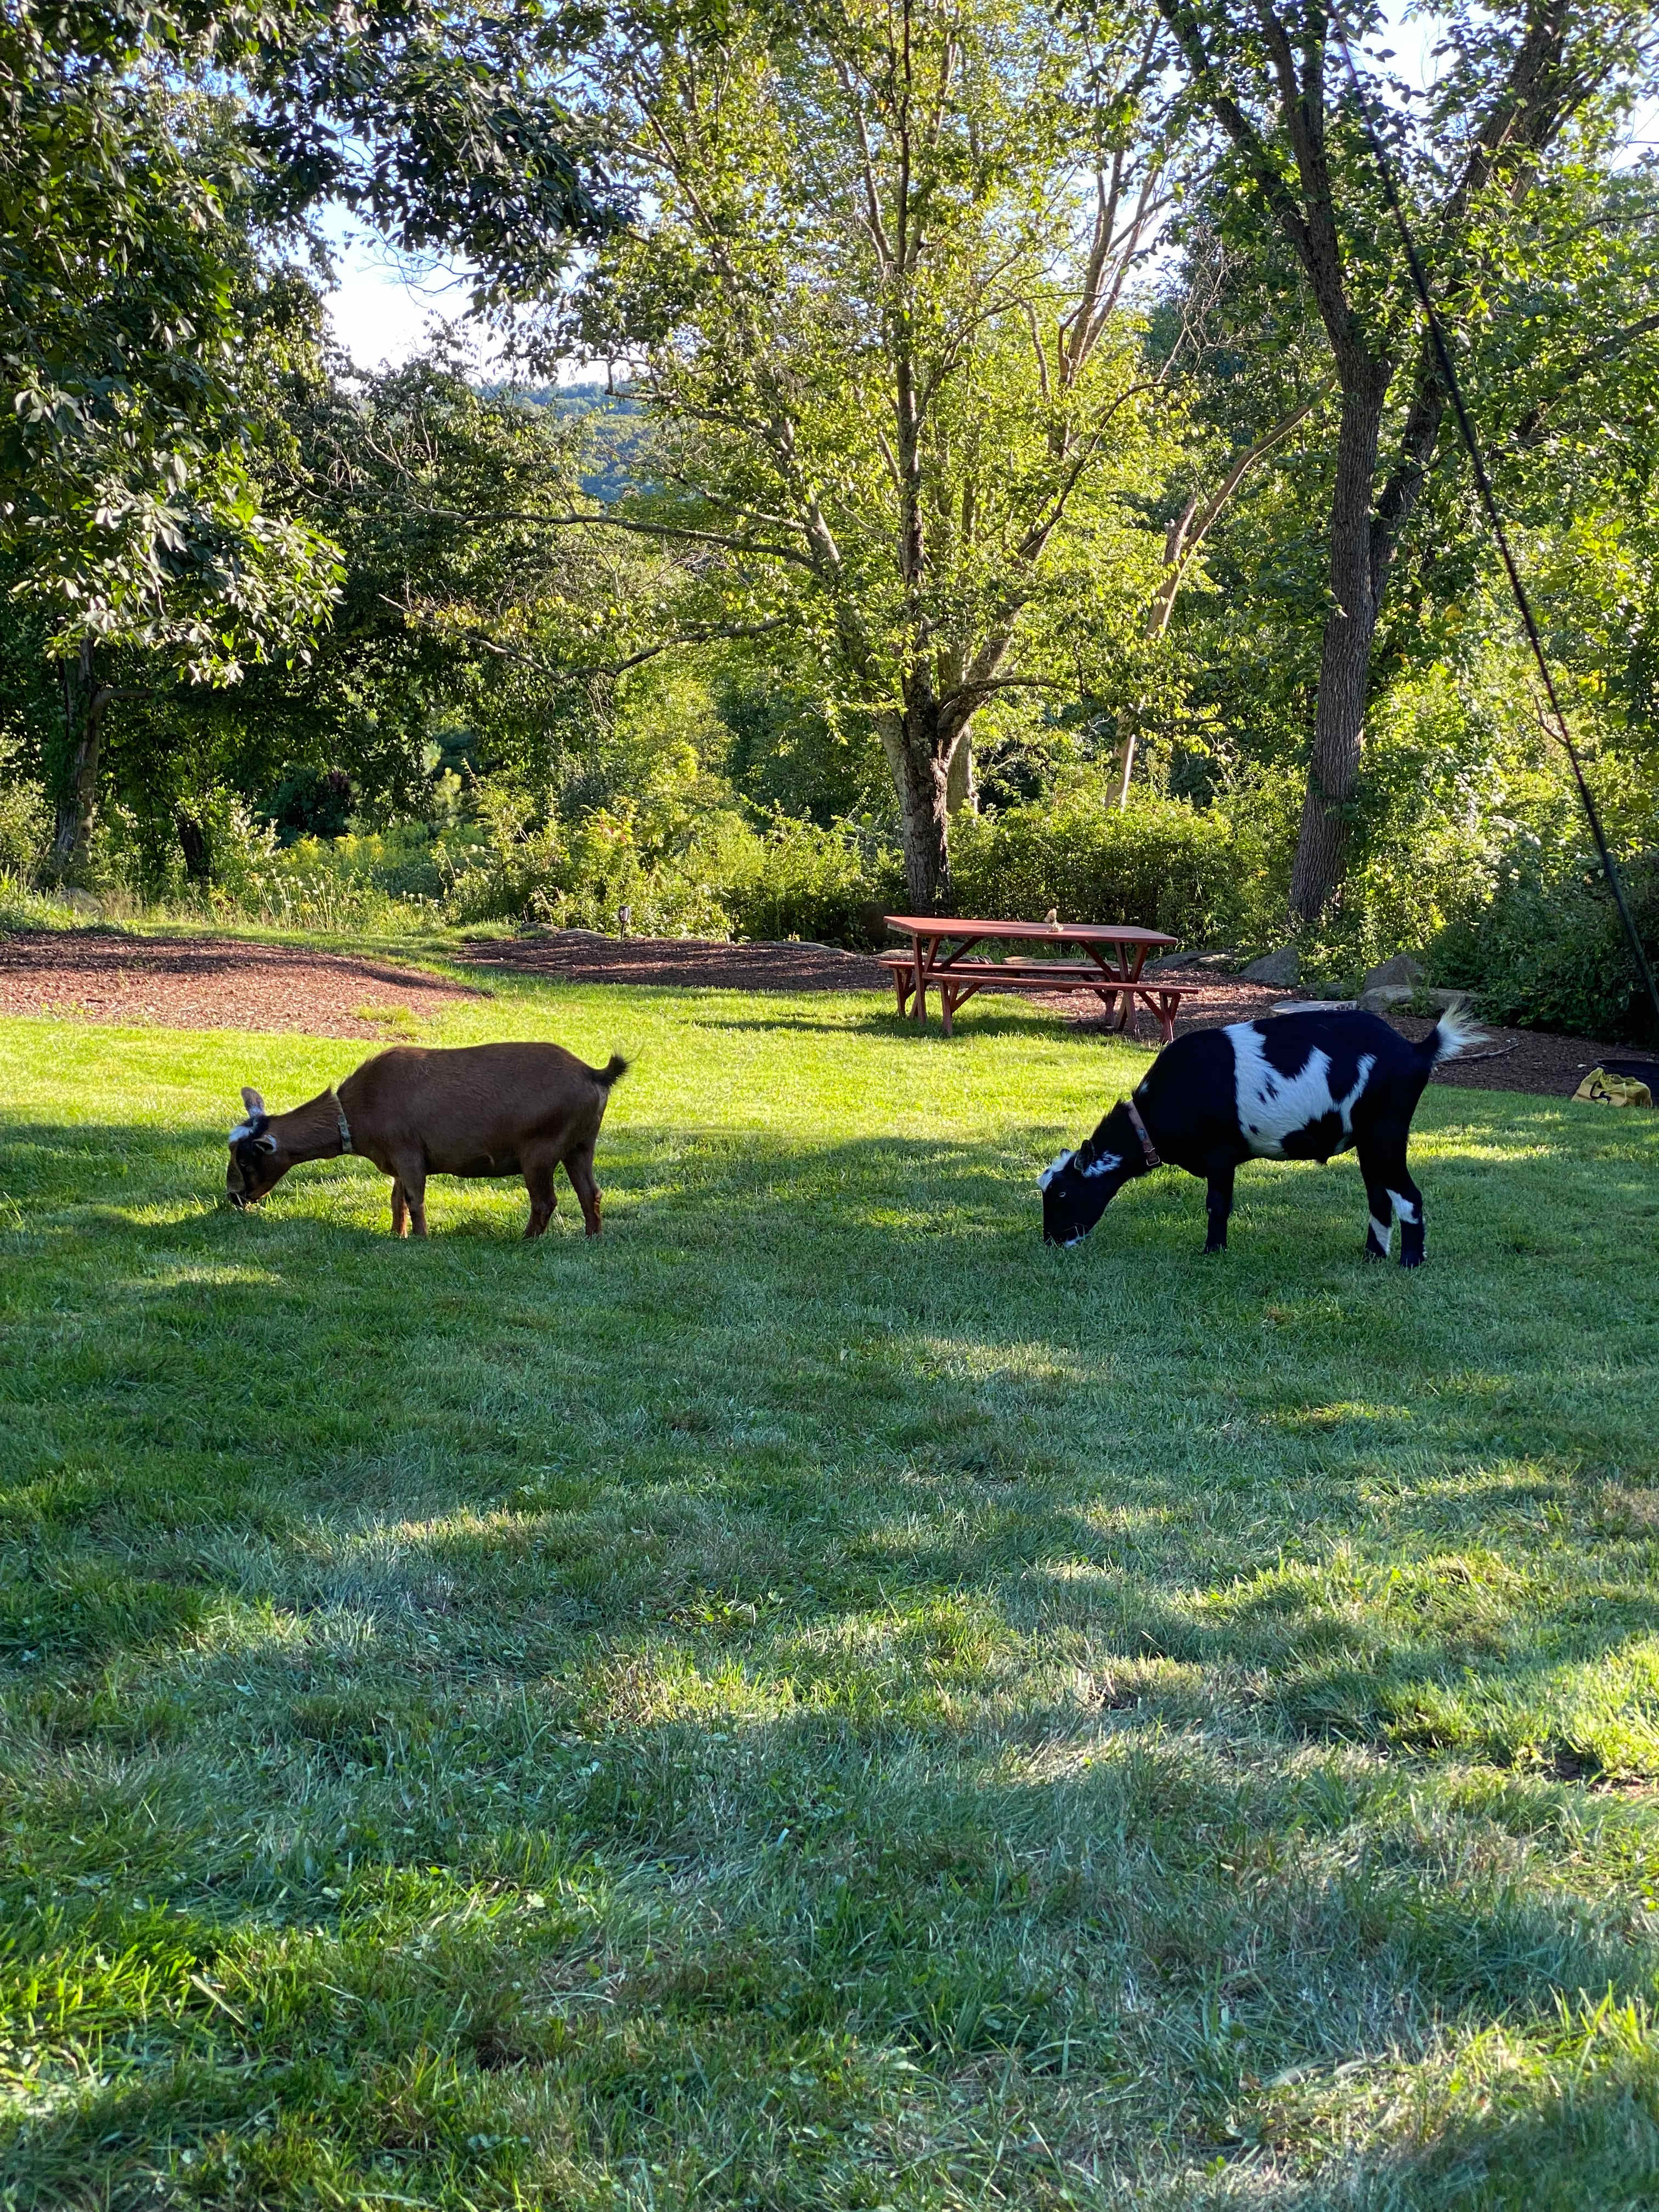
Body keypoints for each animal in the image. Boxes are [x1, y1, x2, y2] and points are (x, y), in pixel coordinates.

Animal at [226, 1041, 627, 1238]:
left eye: (245, 1159)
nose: (233, 1197)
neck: (358, 1108)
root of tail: (594, 1074)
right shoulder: (398, 1159)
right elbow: (396, 1200)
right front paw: (396, 1234)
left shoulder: (408, 1153)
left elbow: (414, 1199)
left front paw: (421, 1238)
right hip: (581, 1146)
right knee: (590, 1193)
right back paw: (592, 1237)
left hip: (539, 1151)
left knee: (545, 1201)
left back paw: (524, 1241)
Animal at [1039, 1008, 1479, 1264]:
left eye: (1061, 1194)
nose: (1050, 1242)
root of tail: (1417, 1050)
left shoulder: (1220, 1156)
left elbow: (1217, 1205)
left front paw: (1212, 1253)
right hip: (1369, 1144)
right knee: (1379, 1196)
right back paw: (1373, 1256)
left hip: (1385, 1133)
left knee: (1408, 1196)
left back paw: (1410, 1262)